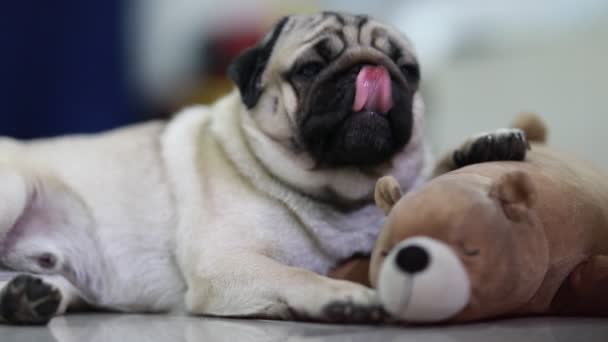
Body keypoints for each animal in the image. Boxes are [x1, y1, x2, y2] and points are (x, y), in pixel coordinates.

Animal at [0, 12, 528, 324]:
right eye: (310, 70)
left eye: (408, 70)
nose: (371, 70)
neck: (343, 193)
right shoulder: (227, 264)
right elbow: (295, 275)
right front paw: (340, 295)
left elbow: (433, 172)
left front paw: (485, 145)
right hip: (14, 188)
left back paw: (25, 296)